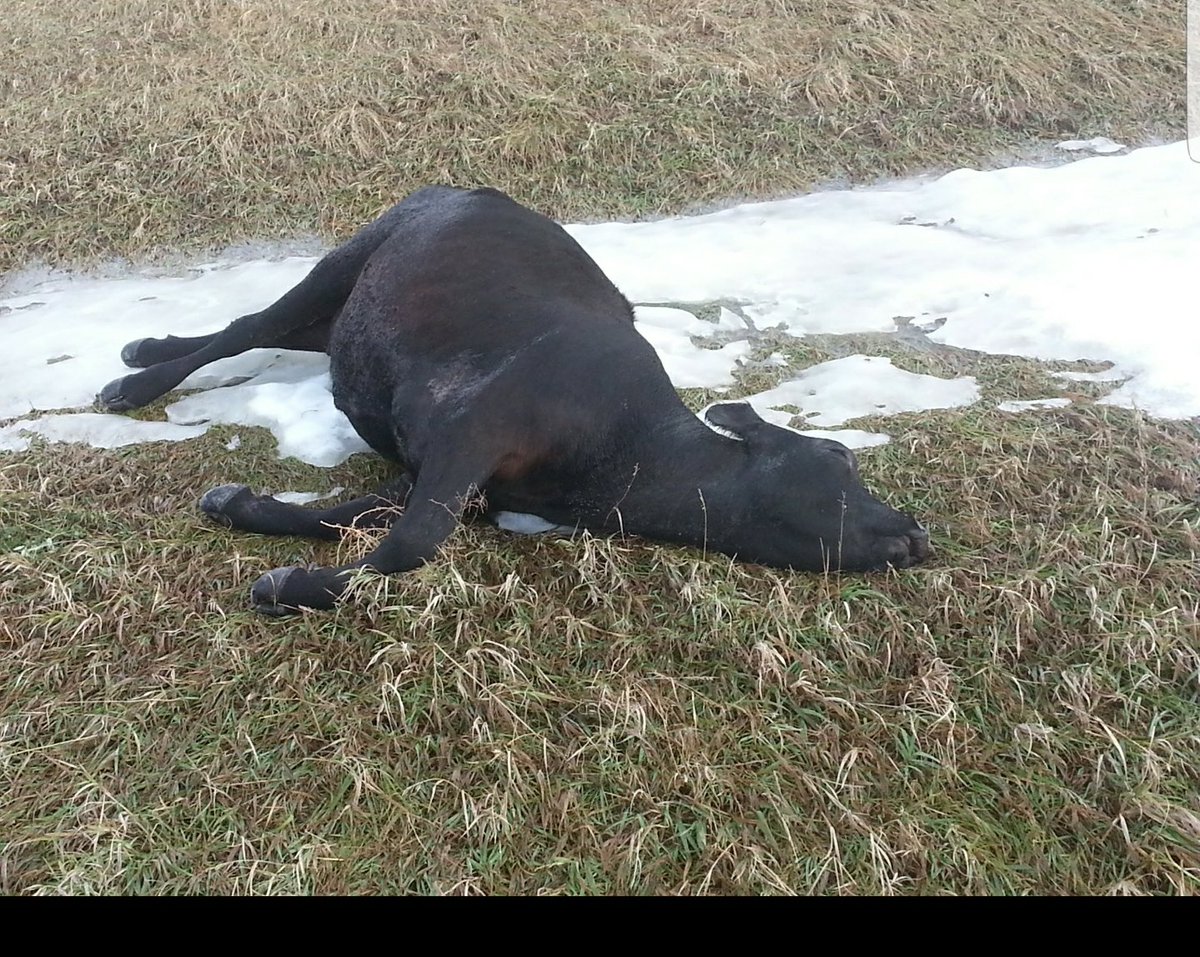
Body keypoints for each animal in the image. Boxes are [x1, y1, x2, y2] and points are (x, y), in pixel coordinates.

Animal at [98, 189, 931, 614]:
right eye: (839, 455)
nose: (917, 531)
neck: (621, 461)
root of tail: (461, 188)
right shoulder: (475, 430)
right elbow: (410, 544)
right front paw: (289, 586)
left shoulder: (446, 473)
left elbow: (342, 517)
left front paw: (240, 506)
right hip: (352, 256)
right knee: (246, 327)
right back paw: (134, 378)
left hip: (343, 321)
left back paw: (145, 347)